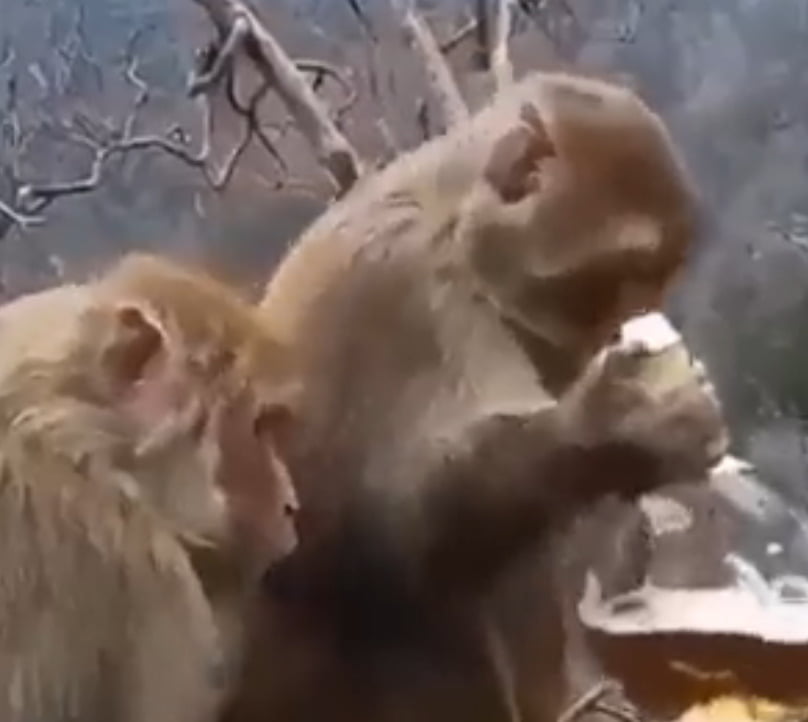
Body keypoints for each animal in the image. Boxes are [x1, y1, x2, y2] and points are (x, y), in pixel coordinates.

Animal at [223, 71, 727, 722]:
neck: (459, 221)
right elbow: (397, 523)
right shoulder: (413, 289)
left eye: (655, 278)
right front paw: (627, 424)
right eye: (617, 276)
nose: (631, 321)